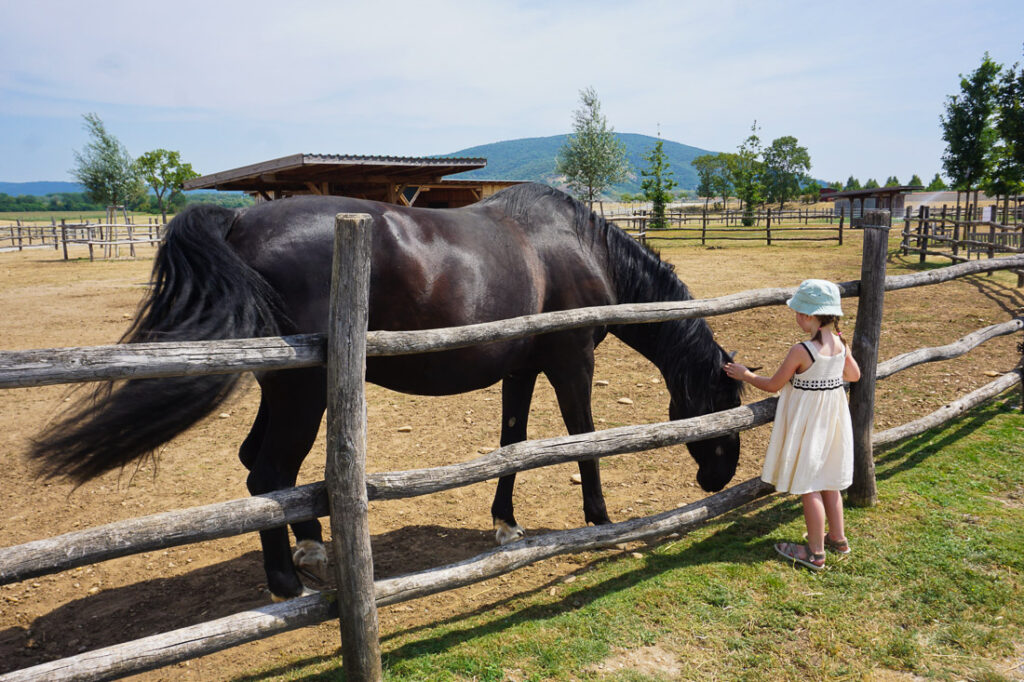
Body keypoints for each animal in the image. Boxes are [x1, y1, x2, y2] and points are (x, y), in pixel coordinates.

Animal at [30, 183, 742, 600]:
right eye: (725, 404)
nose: (717, 479)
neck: (576, 246)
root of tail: (237, 221)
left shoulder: (521, 370)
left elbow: (513, 443)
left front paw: (505, 524)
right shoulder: (571, 364)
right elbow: (584, 439)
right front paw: (600, 518)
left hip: (283, 390)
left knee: (265, 470)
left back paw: (314, 548)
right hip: (302, 393)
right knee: (267, 473)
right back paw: (288, 581)